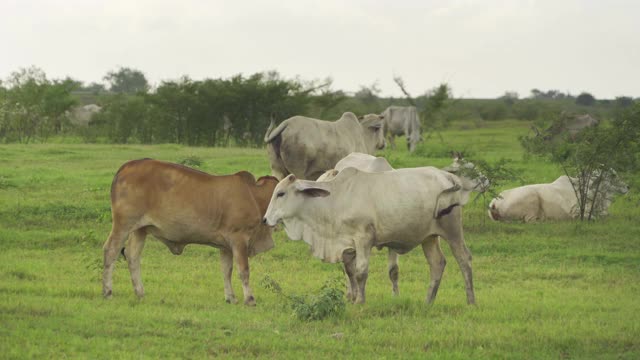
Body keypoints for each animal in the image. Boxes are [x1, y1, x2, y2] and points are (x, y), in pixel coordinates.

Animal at [102, 159, 278, 306]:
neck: (254, 197)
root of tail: (126, 166)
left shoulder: (226, 246)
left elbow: (226, 271)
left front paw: (231, 298)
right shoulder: (239, 239)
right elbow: (244, 270)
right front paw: (250, 299)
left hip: (140, 229)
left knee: (132, 255)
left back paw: (140, 293)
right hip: (124, 224)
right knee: (111, 250)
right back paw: (107, 291)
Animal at [262, 167, 476, 306]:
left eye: (280, 193)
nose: (265, 220)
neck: (335, 201)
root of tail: (448, 176)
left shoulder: (364, 239)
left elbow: (361, 272)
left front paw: (360, 301)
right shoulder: (348, 245)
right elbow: (350, 273)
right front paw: (353, 298)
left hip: (453, 231)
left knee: (464, 260)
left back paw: (471, 301)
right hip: (429, 238)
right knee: (437, 263)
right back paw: (428, 301)